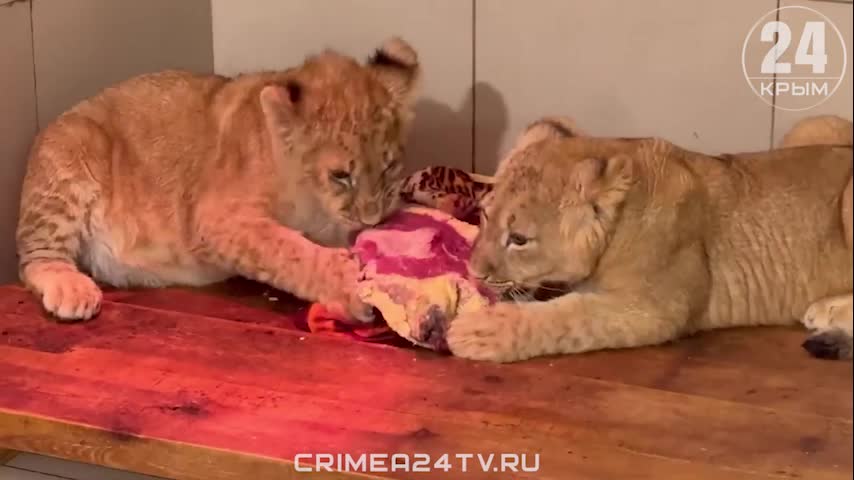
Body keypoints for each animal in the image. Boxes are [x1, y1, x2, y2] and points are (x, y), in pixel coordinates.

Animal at [16, 37, 421, 322]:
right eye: (340, 176)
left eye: (389, 166)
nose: (372, 220)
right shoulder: (217, 218)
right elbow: (286, 249)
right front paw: (348, 286)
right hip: (70, 150)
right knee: (34, 258)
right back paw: (71, 288)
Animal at [444, 116, 853, 362]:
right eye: (484, 215)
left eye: (519, 239)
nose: (474, 272)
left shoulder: (654, 309)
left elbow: (568, 317)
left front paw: (479, 332)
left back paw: (826, 311)